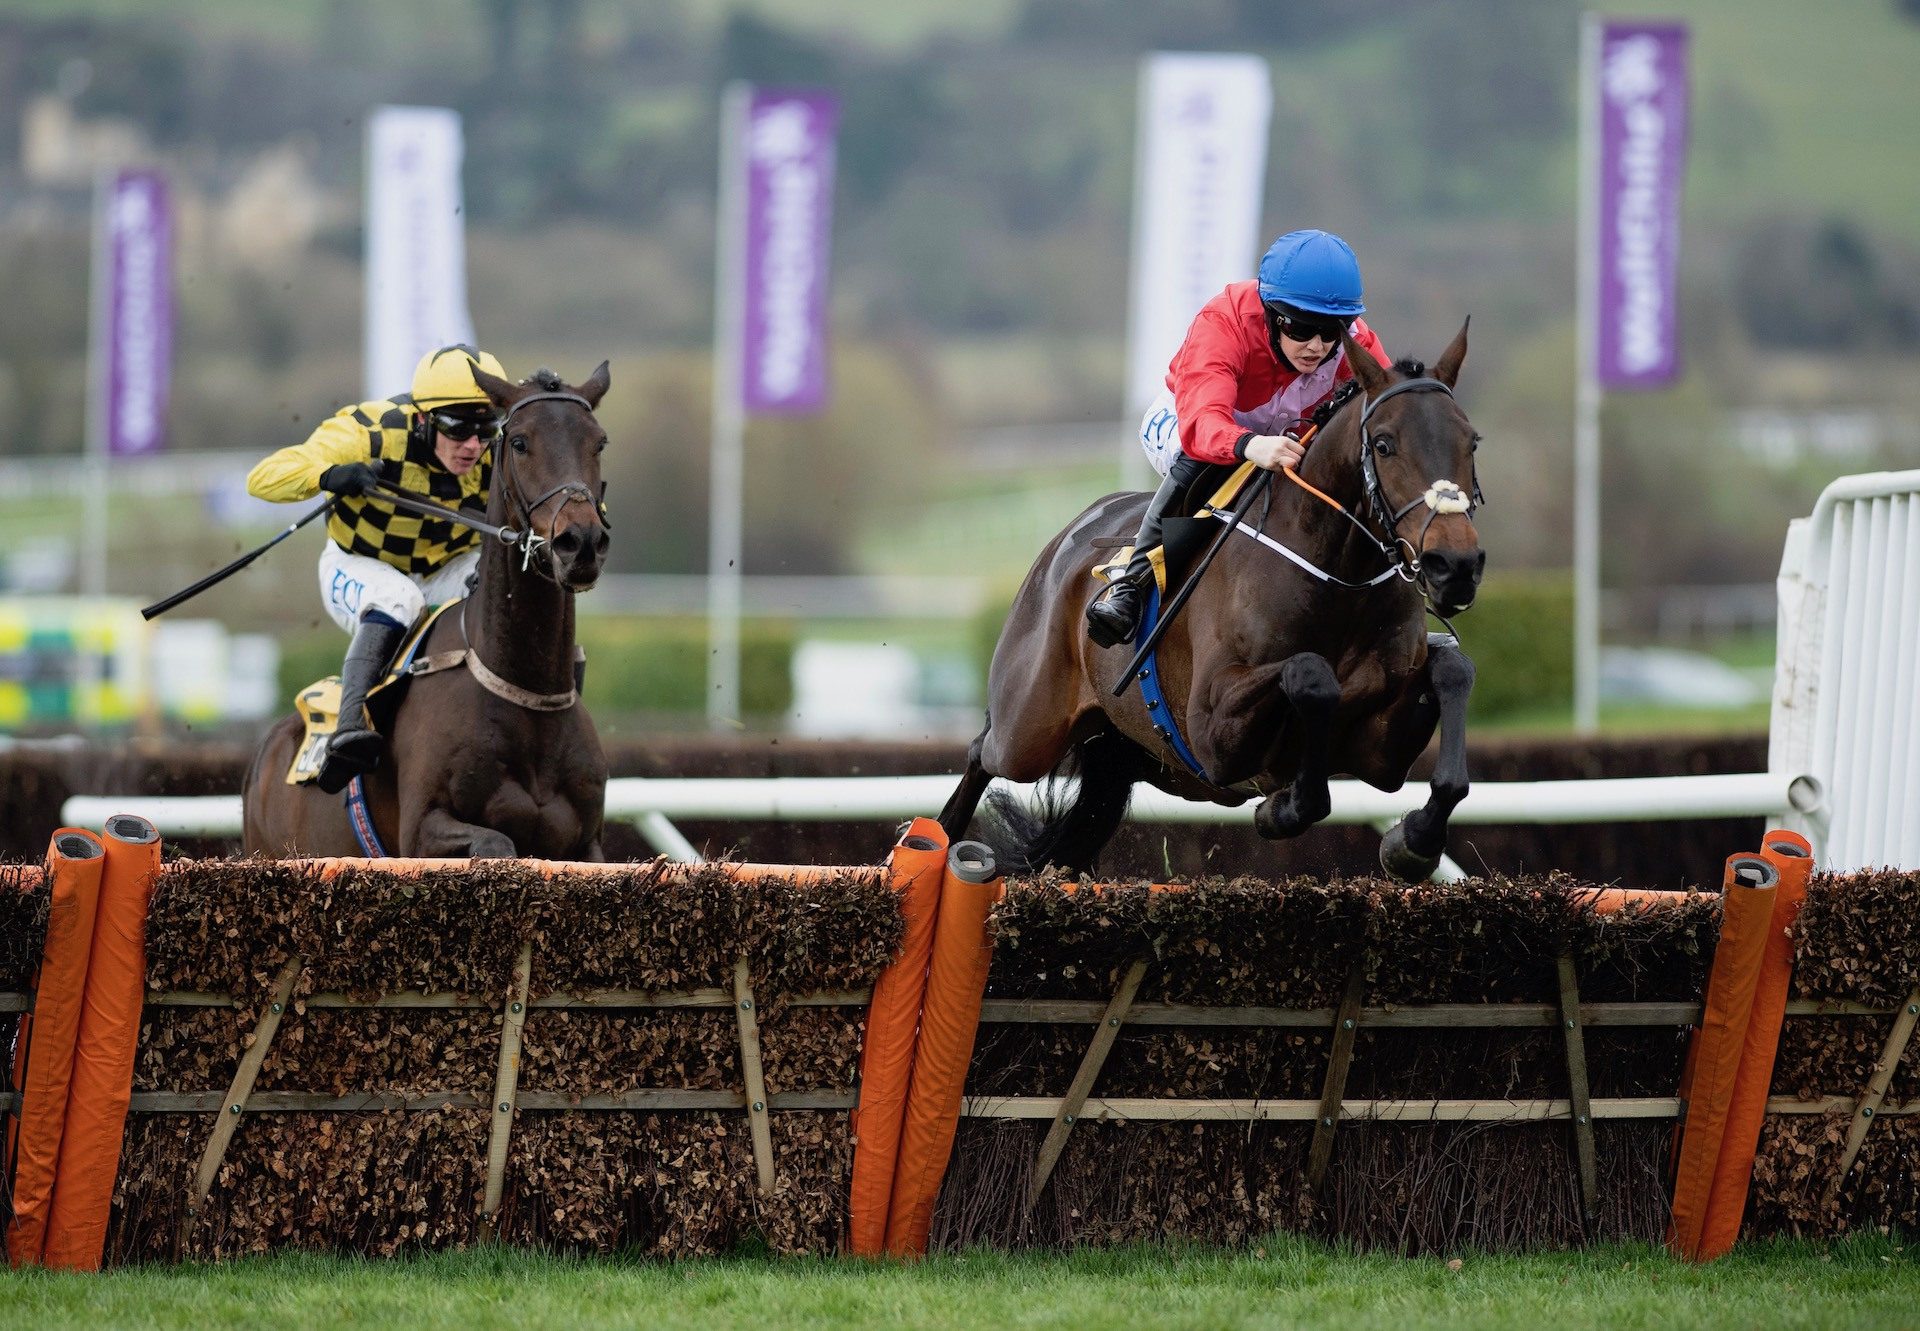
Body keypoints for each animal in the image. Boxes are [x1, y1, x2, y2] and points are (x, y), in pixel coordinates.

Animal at [243, 366, 610, 860]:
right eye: (519, 442)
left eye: (599, 442)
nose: (582, 542)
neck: (523, 692)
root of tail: (265, 753)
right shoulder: (421, 832)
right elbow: (496, 842)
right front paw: (350, 475)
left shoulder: (585, 843)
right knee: (395, 601)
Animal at [944, 324, 1482, 883]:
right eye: (1384, 444)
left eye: (1471, 442)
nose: (1455, 565)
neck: (1339, 578)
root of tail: (1067, 536)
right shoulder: (1212, 730)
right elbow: (1310, 673)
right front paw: (1282, 807)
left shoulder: (1378, 755)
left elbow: (1453, 671)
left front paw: (1413, 840)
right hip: (1030, 729)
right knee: (983, 752)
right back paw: (935, 843)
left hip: (1132, 754)